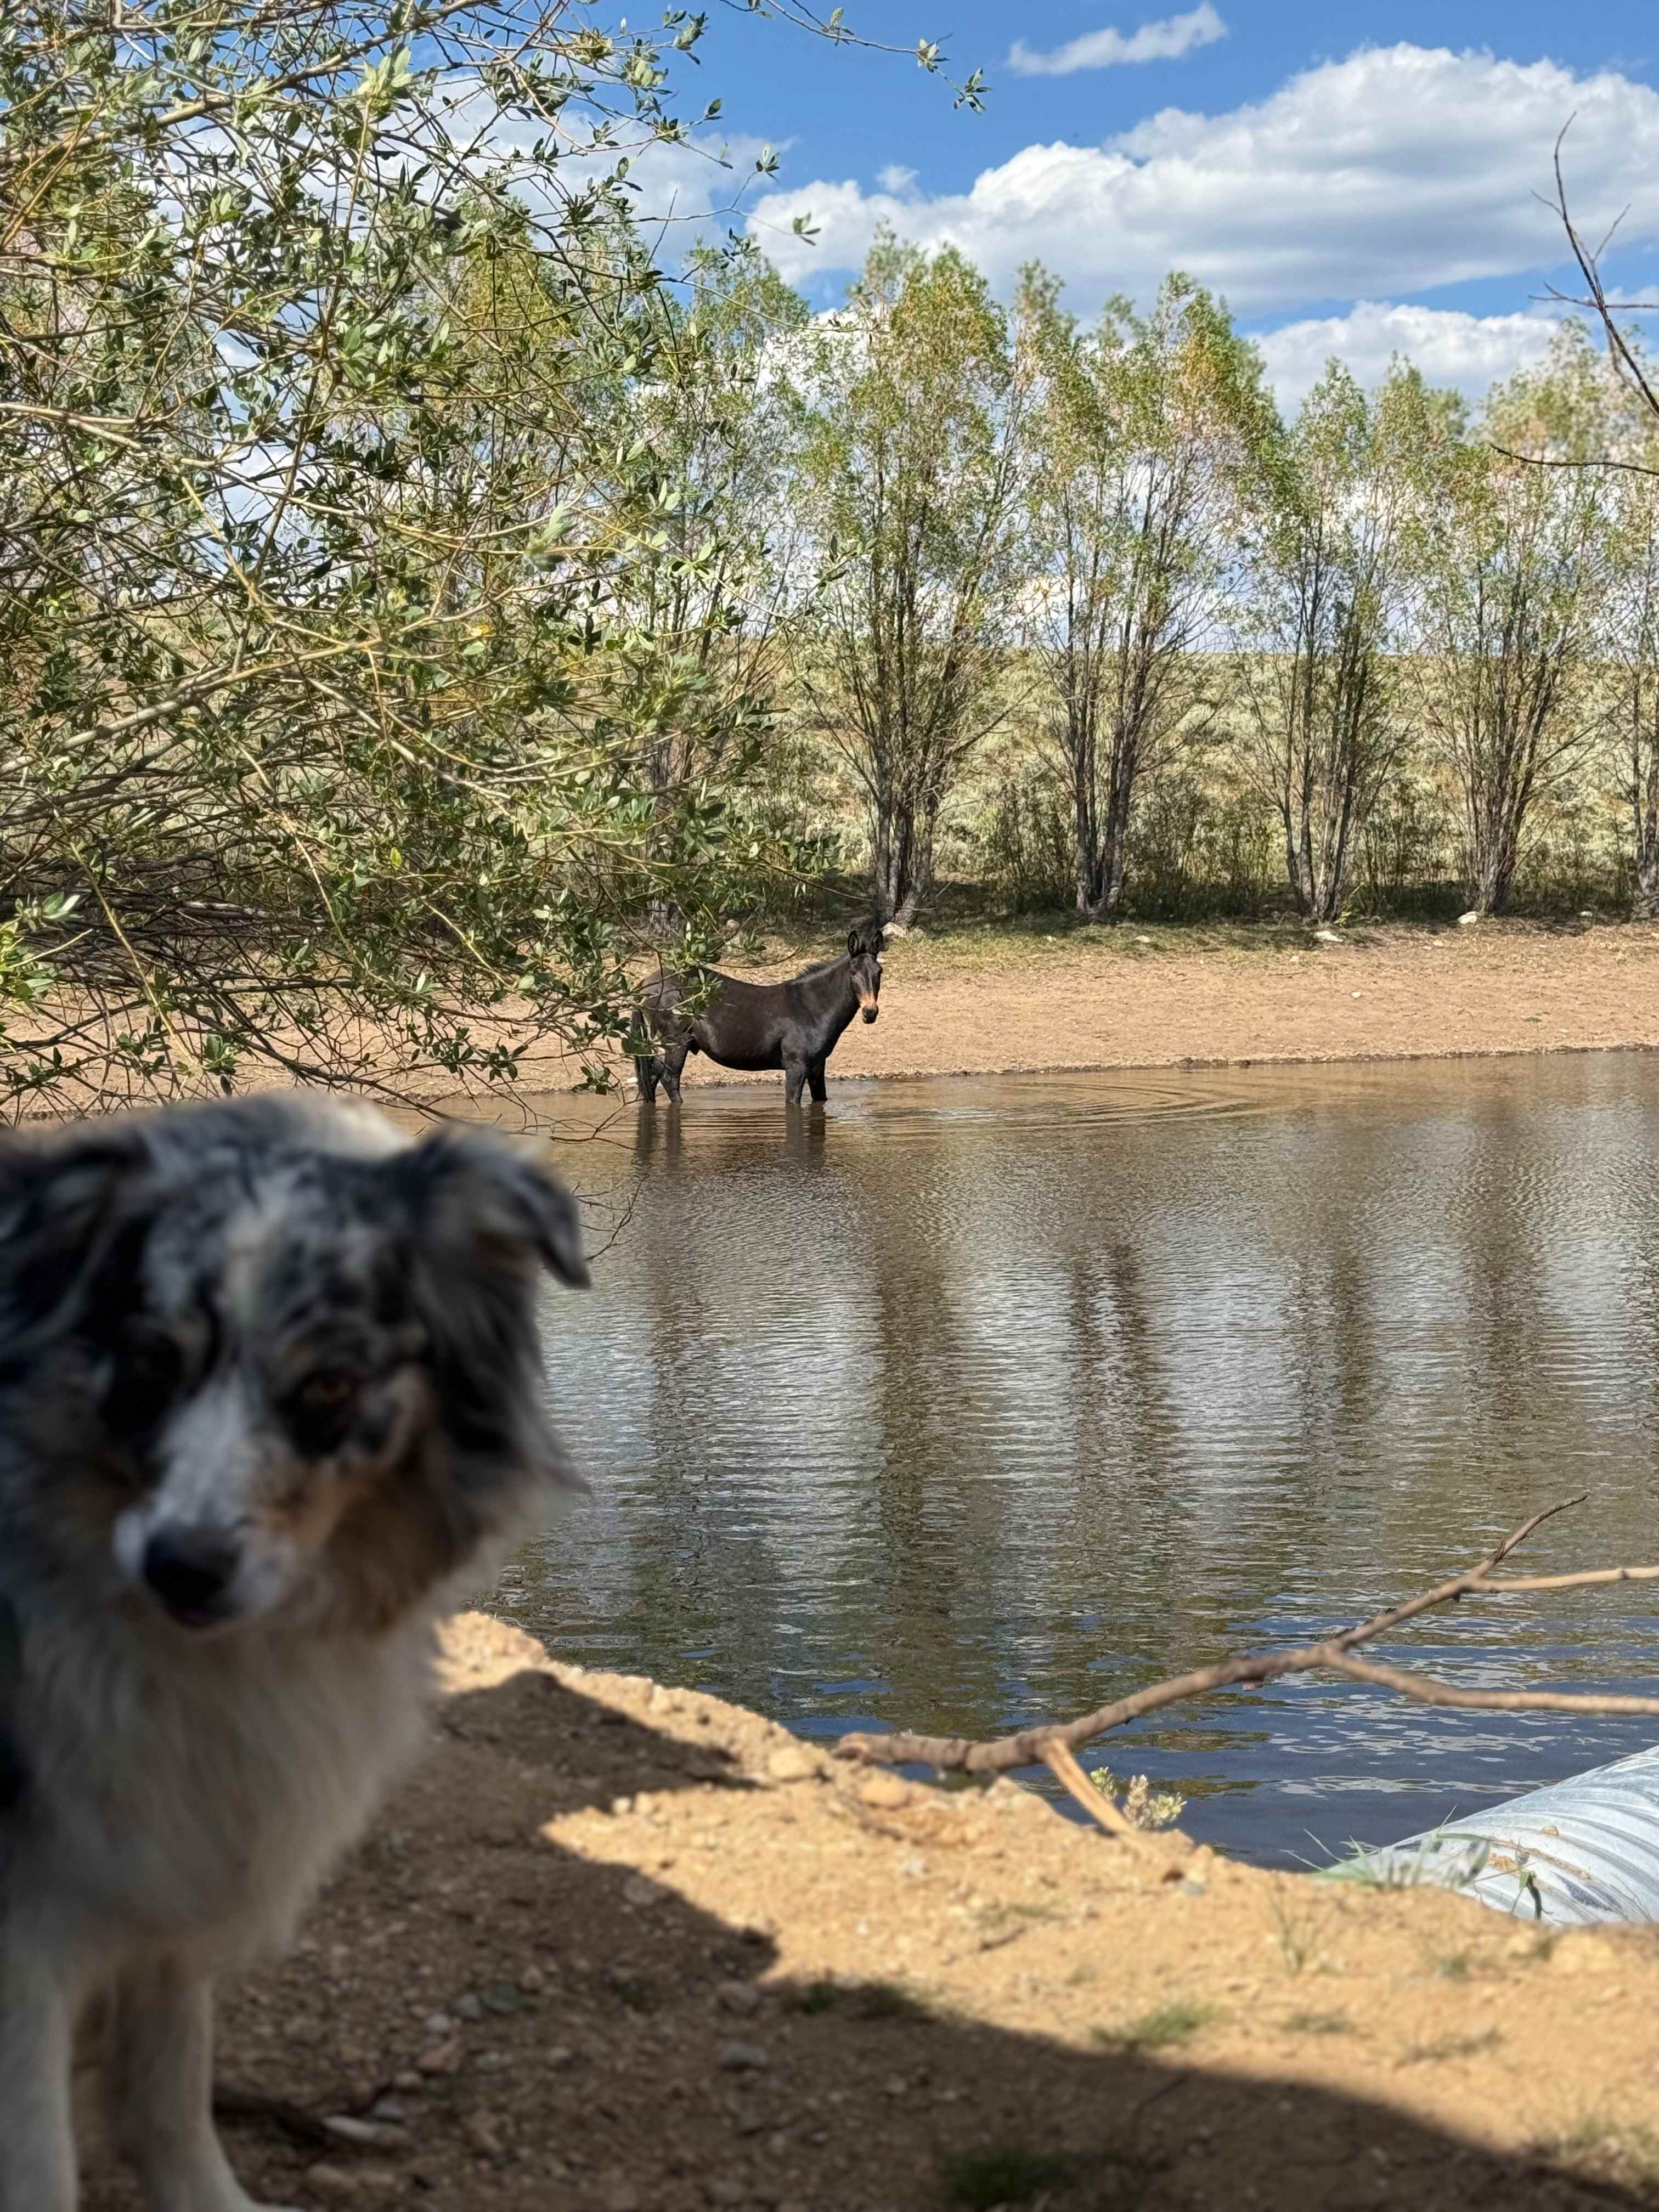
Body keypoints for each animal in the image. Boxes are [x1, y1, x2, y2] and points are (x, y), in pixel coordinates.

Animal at [631, 927, 883, 1107]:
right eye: (853, 973)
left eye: (879, 972)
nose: (870, 1012)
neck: (811, 1008)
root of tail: (646, 984)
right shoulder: (796, 1067)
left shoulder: (817, 1068)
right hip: (677, 1043)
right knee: (670, 1081)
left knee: (650, 1079)